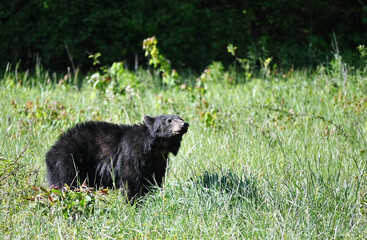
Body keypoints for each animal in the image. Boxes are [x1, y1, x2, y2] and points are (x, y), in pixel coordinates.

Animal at [44, 115, 190, 202]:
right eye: (169, 120)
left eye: (180, 117)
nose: (185, 124)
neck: (156, 147)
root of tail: (51, 151)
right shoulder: (131, 153)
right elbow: (130, 179)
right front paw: (133, 203)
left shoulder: (159, 161)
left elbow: (154, 180)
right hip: (66, 162)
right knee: (64, 183)